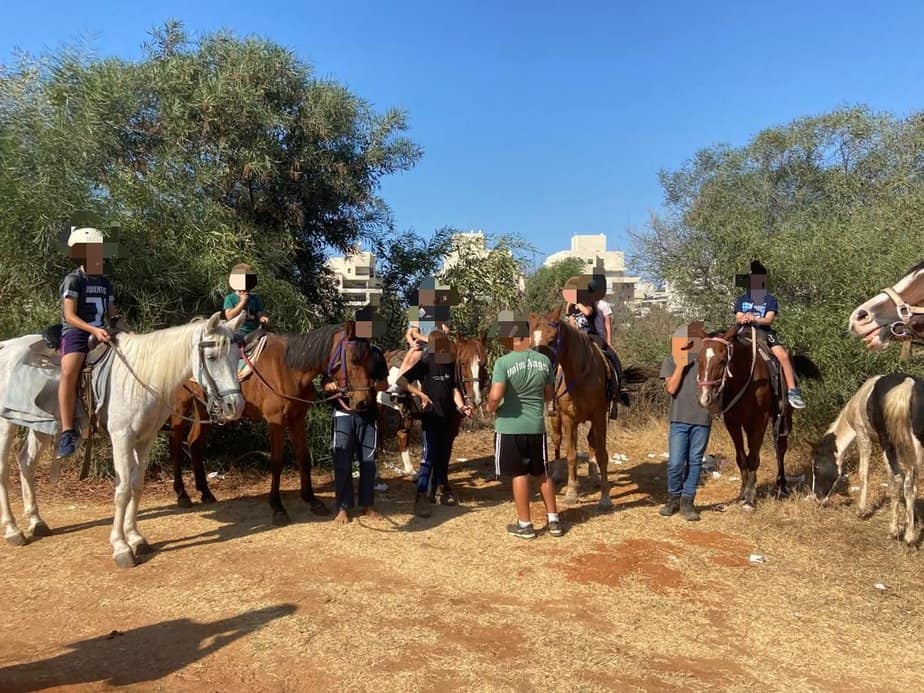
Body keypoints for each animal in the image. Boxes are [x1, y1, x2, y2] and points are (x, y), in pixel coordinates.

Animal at [0, 310, 245, 564]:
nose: (234, 405)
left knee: (26, 463)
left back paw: (36, 522)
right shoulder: (122, 438)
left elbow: (136, 486)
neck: (144, 376)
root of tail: (7, 346)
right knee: (4, 470)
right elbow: (123, 490)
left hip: (39, 426)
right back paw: (12, 529)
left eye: (237, 355)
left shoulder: (145, 439)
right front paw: (121, 547)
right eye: (212, 357)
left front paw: (135, 538)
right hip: (7, 423)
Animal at [170, 324, 376, 524]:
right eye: (353, 360)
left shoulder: (297, 418)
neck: (288, 370)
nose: (363, 401)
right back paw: (182, 495)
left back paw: (205, 493)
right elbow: (277, 462)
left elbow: (303, 458)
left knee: (194, 443)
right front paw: (278, 507)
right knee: (176, 447)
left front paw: (312, 500)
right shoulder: (275, 421)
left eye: (370, 360)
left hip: (202, 408)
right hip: (179, 408)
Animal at [532, 308, 616, 508]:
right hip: (556, 418)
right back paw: (556, 474)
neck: (580, 374)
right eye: (532, 340)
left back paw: (594, 474)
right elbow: (571, 455)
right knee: (557, 441)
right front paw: (571, 493)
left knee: (591, 440)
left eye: (552, 340)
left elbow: (602, 454)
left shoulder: (599, 415)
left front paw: (605, 496)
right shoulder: (568, 419)